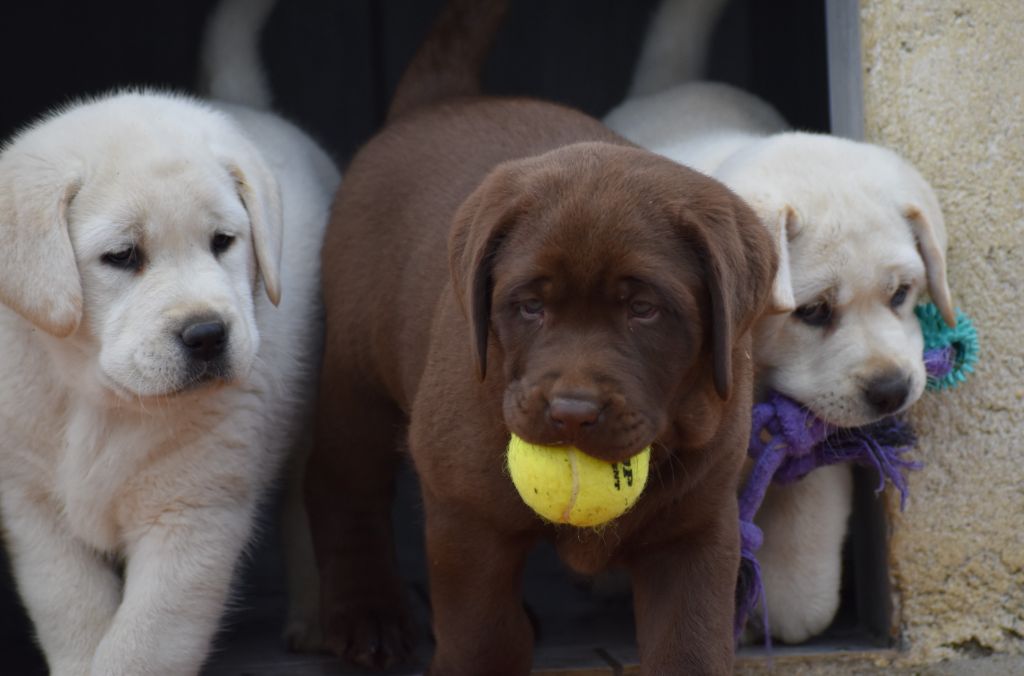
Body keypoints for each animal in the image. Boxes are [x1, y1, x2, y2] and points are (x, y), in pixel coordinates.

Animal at [0, 91, 339, 676]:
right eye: (122, 256)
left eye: (223, 242)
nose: (207, 334)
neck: (97, 397)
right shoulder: (36, 512)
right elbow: (73, 613)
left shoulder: (191, 515)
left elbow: (142, 648)